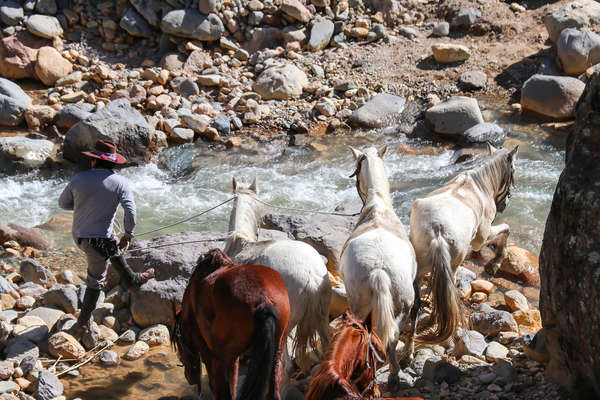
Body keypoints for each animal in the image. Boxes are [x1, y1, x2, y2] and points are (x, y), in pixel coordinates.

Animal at [171, 248, 290, 398]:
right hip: (277, 351)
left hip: (223, 357)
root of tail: (263, 300)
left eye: (179, 349)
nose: (189, 378)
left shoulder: (207, 350)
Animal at [340, 145, 420, 390]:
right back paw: (393, 375)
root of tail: (378, 270)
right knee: (392, 337)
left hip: (361, 307)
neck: (377, 208)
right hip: (401, 307)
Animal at [404, 144, 520, 362]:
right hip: (454, 263)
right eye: (513, 170)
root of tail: (437, 230)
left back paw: (409, 350)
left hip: (419, 269)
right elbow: (506, 230)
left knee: (417, 304)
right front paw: (496, 262)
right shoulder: (480, 240)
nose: (505, 204)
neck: (479, 187)